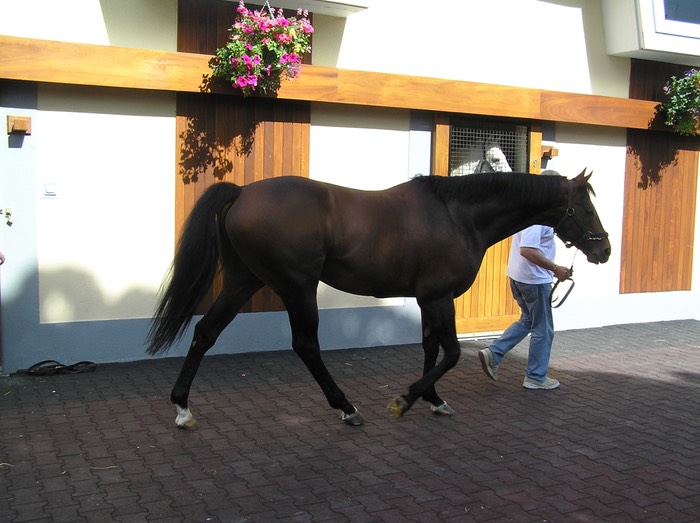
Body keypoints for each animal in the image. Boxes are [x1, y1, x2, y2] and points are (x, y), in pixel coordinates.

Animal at [147, 170, 610, 429]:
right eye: (586, 209)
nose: (603, 249)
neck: (458, 216)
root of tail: (242, 192)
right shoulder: (439, 297)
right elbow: (451, 352)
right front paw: (405, 400)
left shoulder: (427, 299)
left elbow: (430, 347)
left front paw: (433, 399)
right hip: (297, 286)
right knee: (306, 346)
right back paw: (346, 407)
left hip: (243, 281)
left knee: (206, 332)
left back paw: (182, 407)